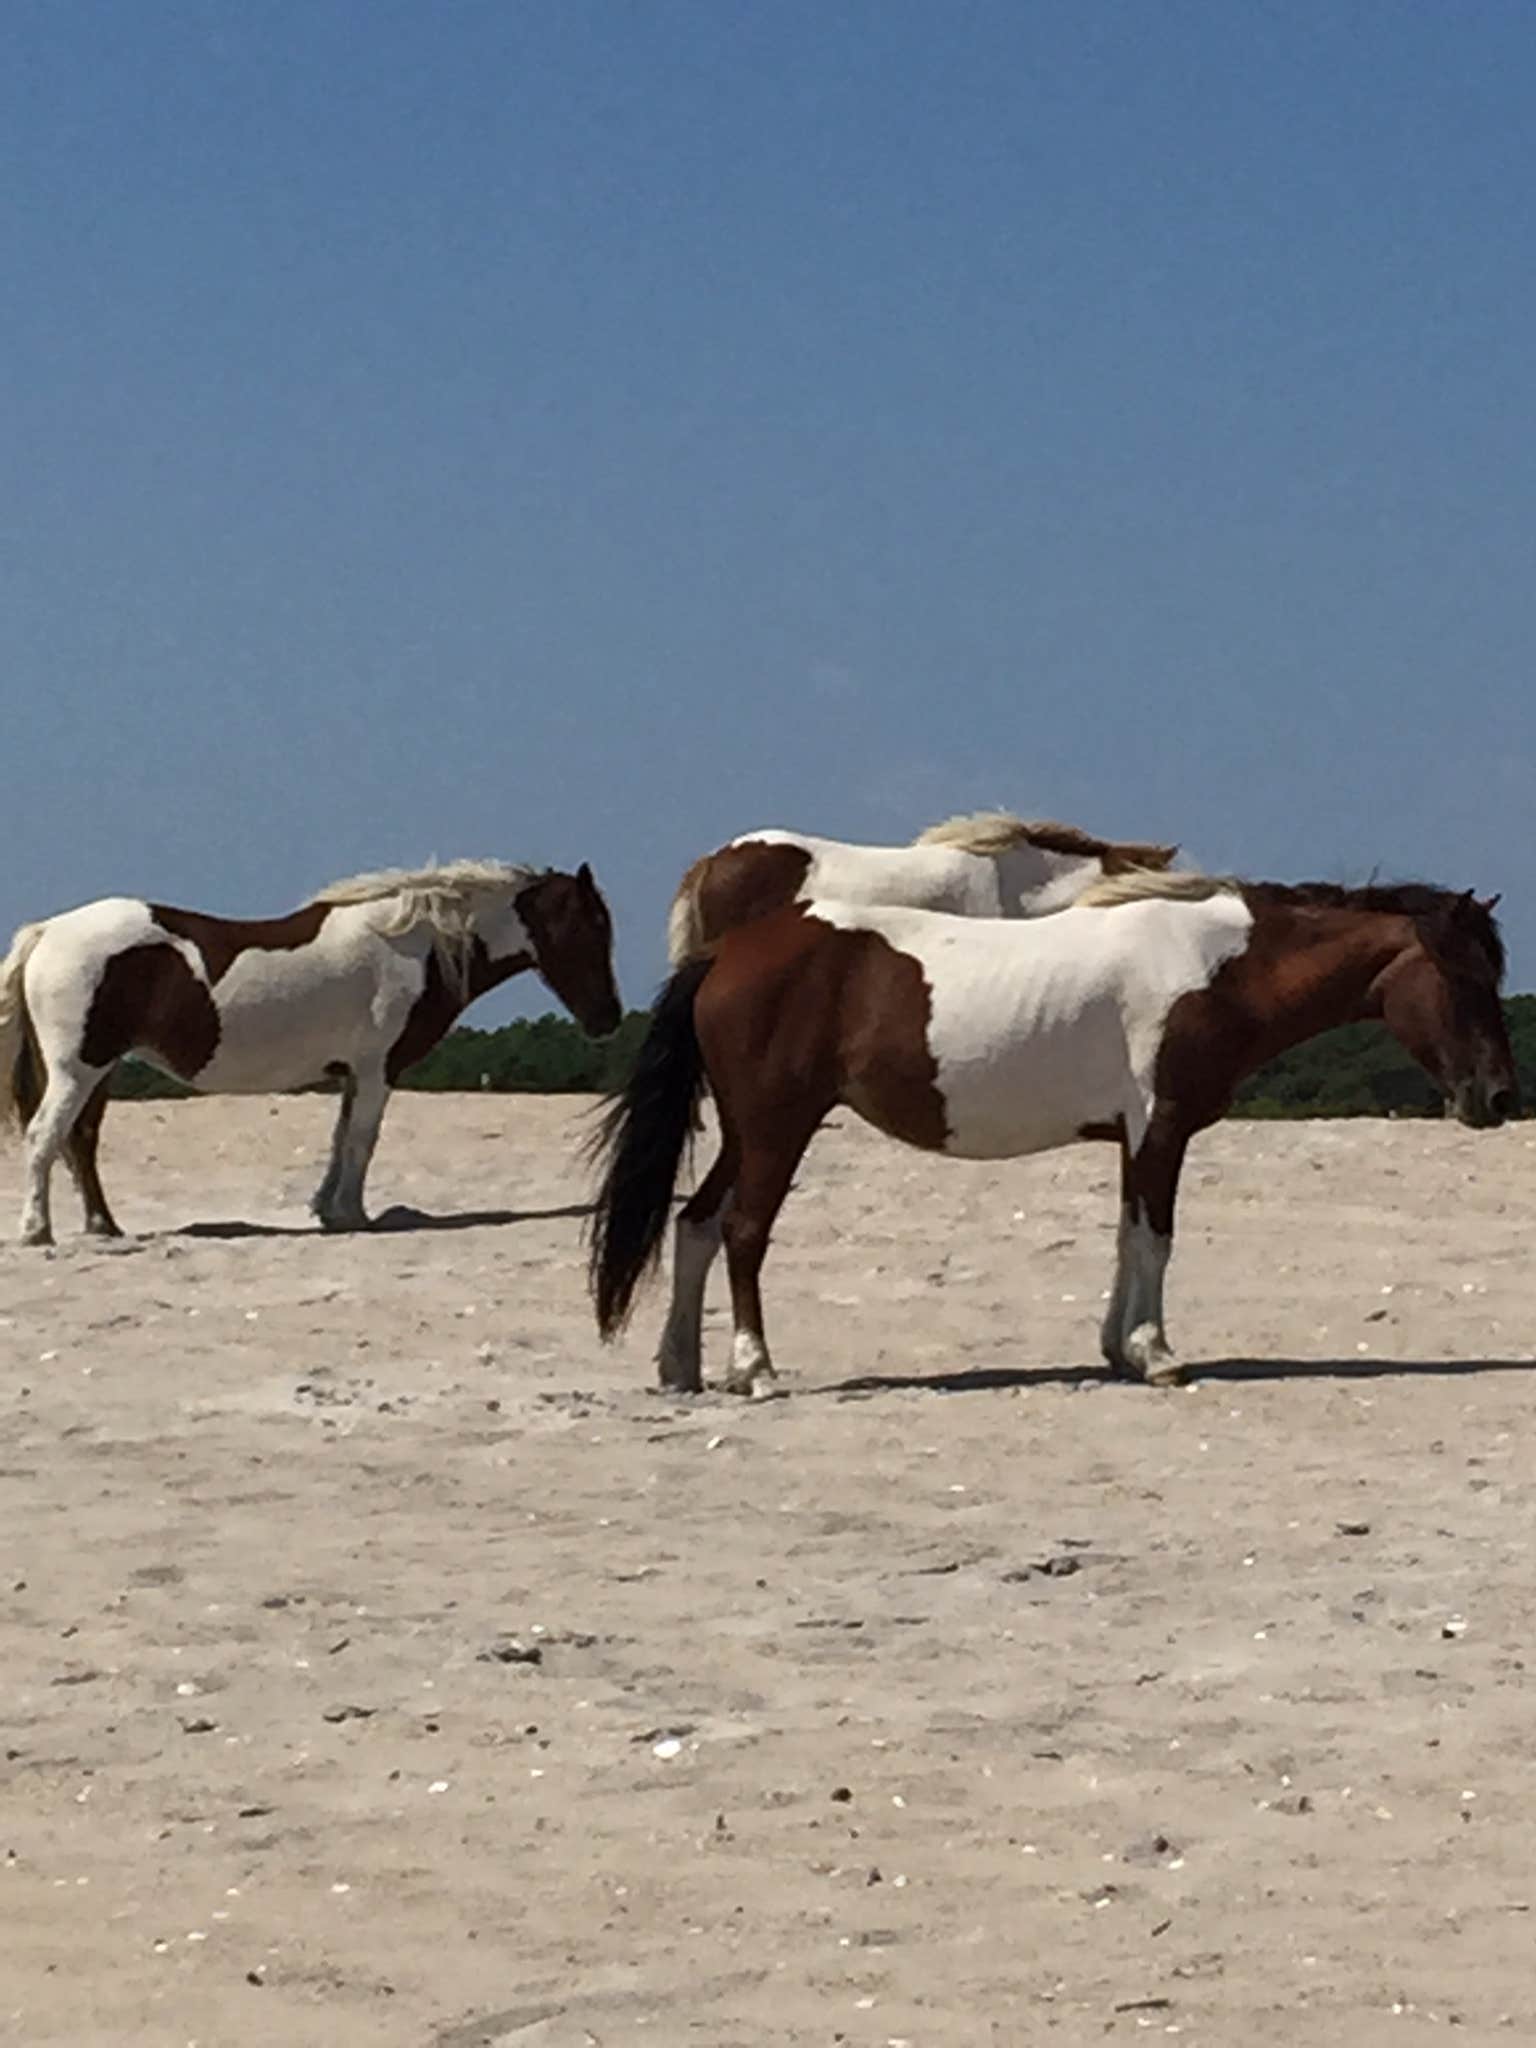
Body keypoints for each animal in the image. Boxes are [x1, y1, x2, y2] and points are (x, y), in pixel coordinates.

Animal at [0, 860, 621, 1243]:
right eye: (591, 928)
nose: (609, 1020)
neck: (413, 947)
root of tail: (47, 931)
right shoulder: (377, 1070)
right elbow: (363, 1141)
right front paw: (354, 1215)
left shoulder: (352, 1073)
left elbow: (340, 1139)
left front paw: (327, 1211)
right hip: (78, 1069)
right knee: (45, 1137)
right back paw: (37, 1230)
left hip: (98, 1069)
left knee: (80, 1141)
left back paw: (103, 1227)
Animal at [590, 871, 1515, 1393]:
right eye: (1465, 977)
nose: (1500, 1097)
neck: (1218, 970)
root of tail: (730, 950)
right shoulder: (1162, 1130)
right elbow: (1156, 1240)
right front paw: (1156, 1354)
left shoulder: (1135, 1137)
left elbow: (1127, 1237)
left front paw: (1118, 1350)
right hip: (779, 1127)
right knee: (743, 1233)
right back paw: (755, 1370)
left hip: (746, 1131)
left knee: (695, 1224)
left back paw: (682, 1368)